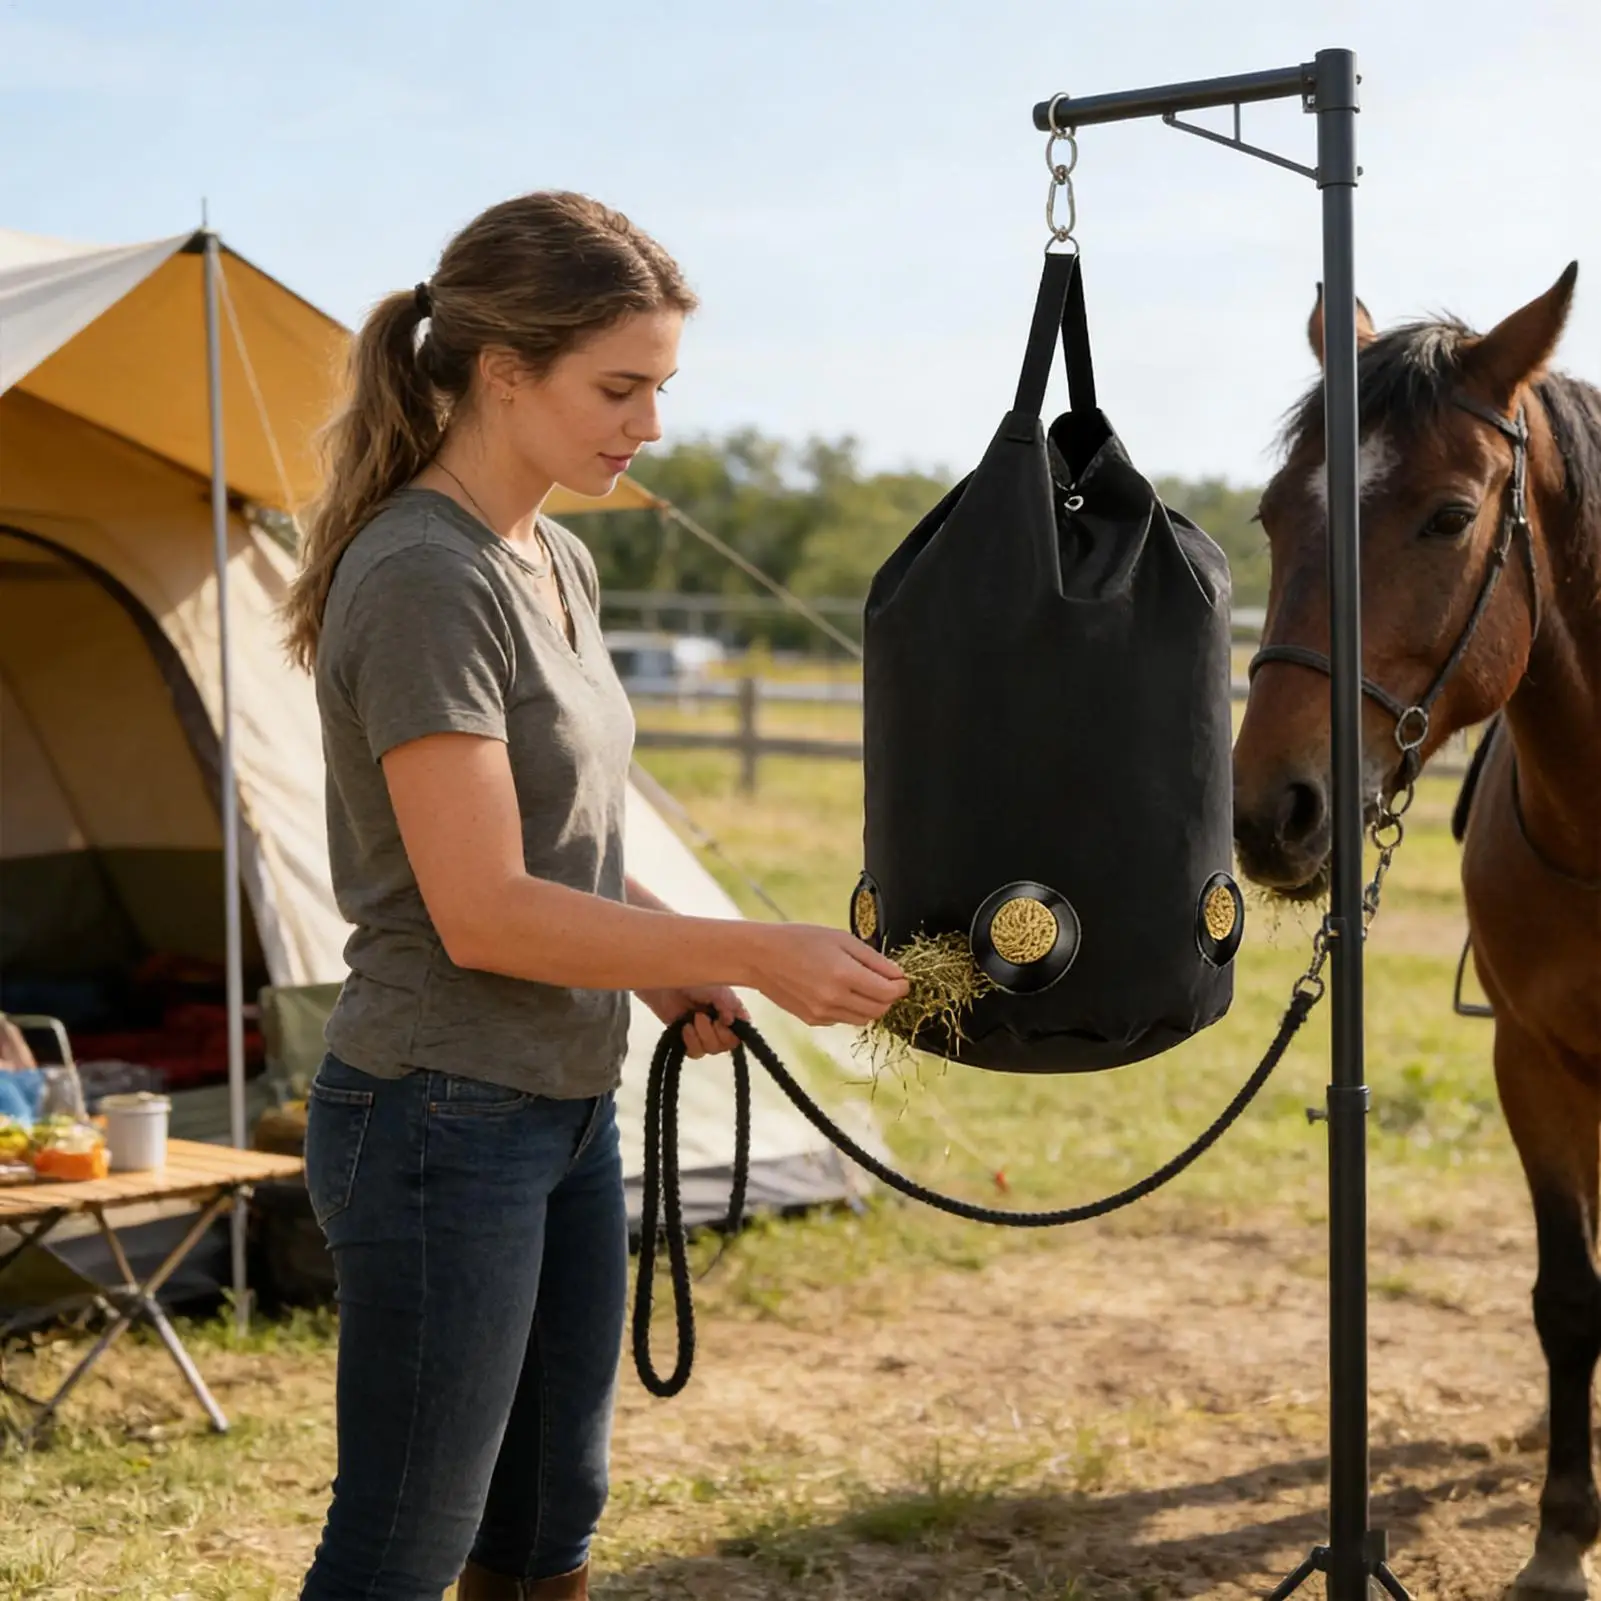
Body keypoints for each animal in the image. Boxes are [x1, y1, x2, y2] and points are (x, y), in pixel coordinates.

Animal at [1233, 267, 1601, 1599]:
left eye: (1447, 517)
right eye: (1273, 516)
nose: (1271, 809)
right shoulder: (1532, 1065)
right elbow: (1568, 1296)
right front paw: (1560, 1535)